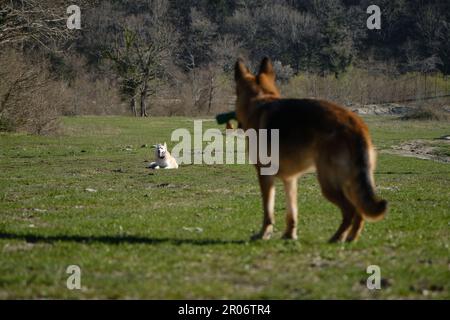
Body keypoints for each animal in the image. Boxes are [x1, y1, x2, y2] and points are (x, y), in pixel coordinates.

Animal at [236, 58, 386, 242]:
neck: (260, 99)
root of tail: (356, 125)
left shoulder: (265, 177)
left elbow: (268, 211)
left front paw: (265, 234)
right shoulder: (290, 180)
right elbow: (292, 212)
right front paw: (289, 235)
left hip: (328, 184)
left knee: (350, 210)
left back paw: (337, 238)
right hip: (351, 183)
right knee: (359, 211)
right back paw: (350, 238)